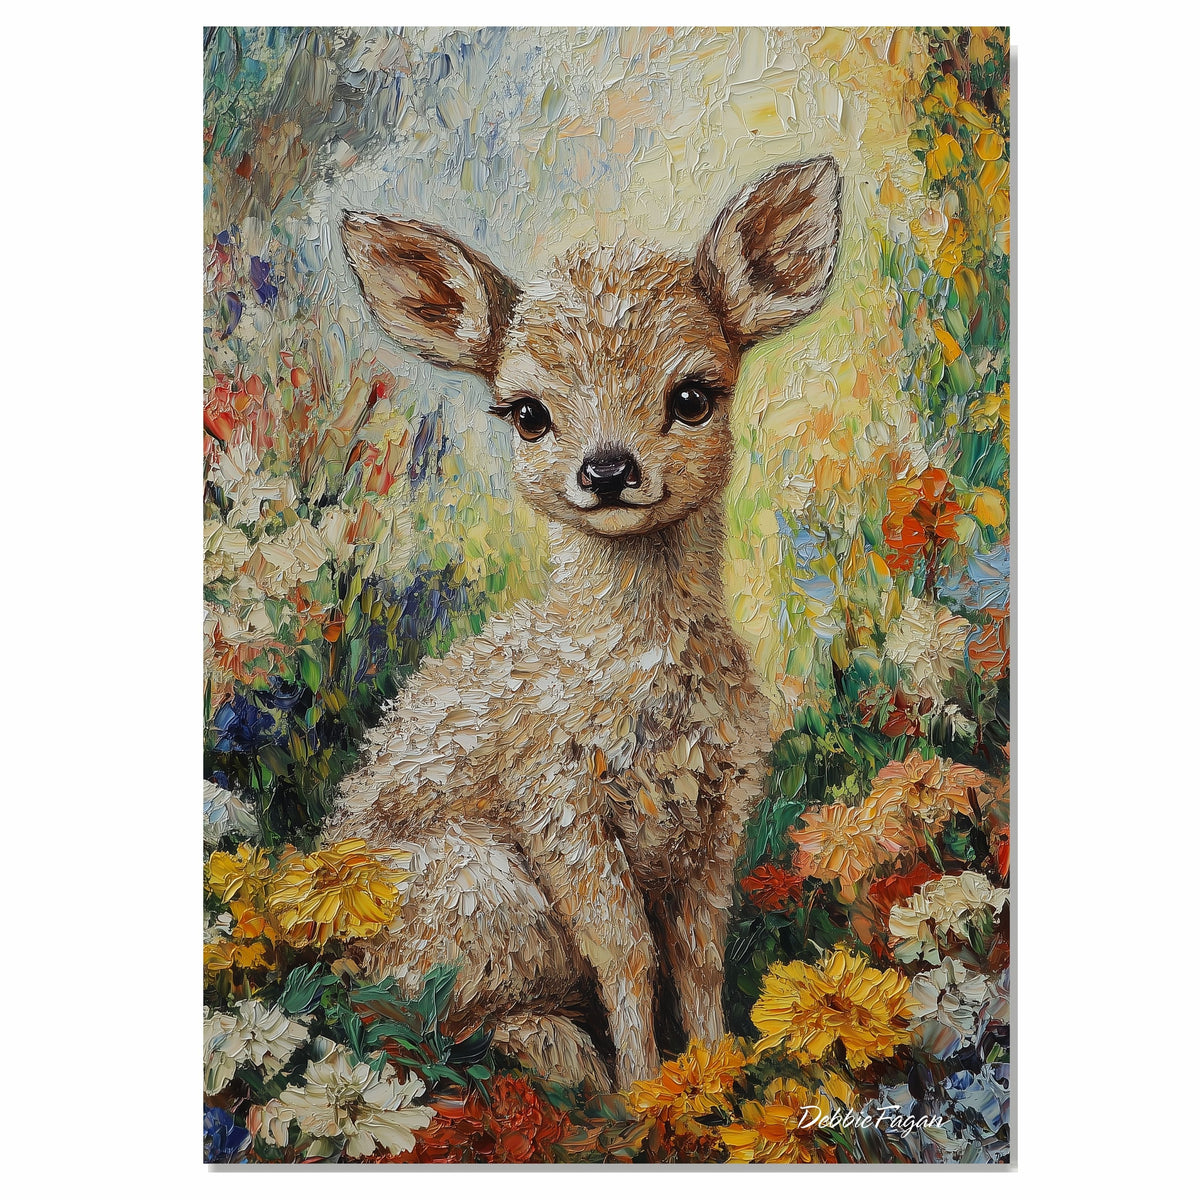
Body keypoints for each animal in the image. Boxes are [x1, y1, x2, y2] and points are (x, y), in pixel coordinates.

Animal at [328, 157, 842, 1091]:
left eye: (693, 396)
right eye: (528, 413)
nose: (607, 470)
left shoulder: (723, 811)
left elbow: (698, 954)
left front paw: (715, 1077)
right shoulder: (560, 809)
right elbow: (627, 955)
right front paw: (647, 1092)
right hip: (478, 891)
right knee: (430, 1021)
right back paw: (568, 1062)